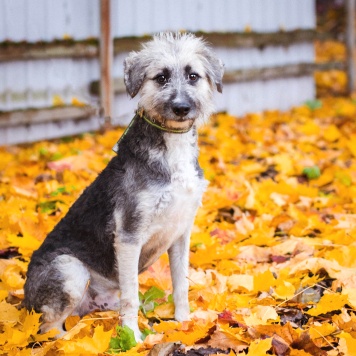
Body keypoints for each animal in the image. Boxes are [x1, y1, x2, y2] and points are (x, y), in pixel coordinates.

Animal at [23, 33, 222, 342]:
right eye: (161, 77)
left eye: (193, 76)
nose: (181, 108)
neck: (171, 148)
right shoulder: (129, 235)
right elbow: (131, 293)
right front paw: (132, 338)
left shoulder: (181, 233)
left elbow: (181, 284)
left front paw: (184, 322)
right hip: (70, 270)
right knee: (47, 328)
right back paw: (73, 342)